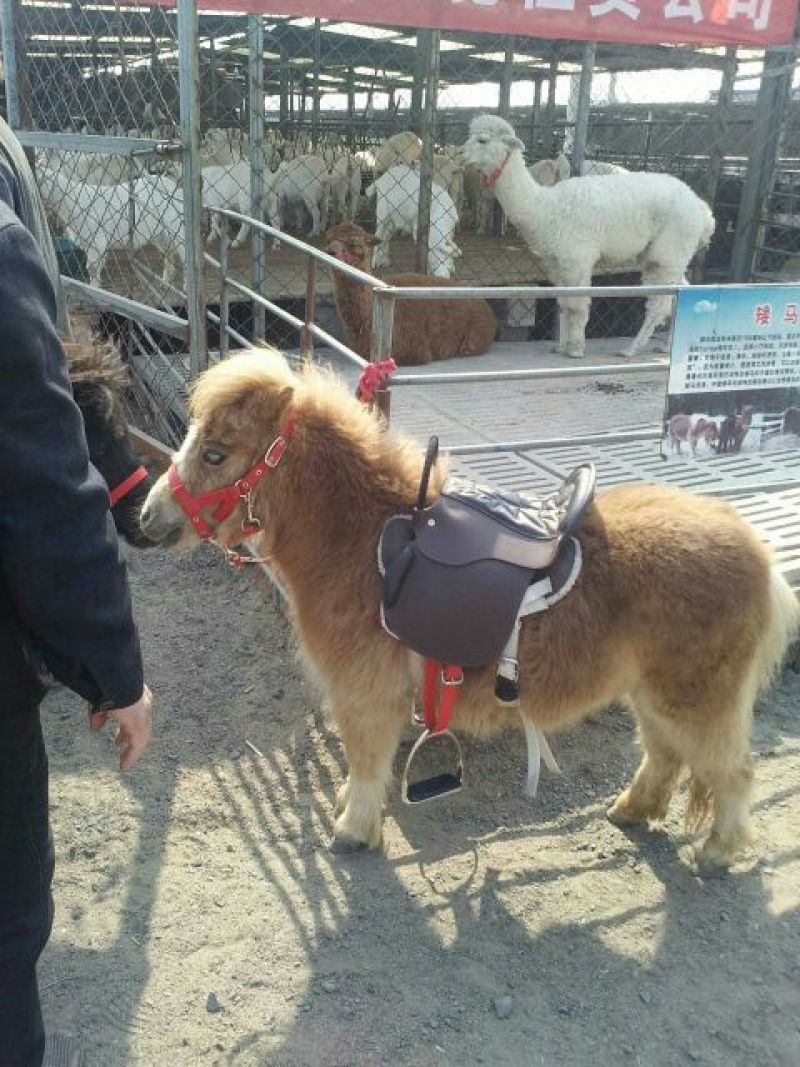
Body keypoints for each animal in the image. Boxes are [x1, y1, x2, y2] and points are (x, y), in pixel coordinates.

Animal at [139, 349, 798, 870]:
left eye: (216, 454)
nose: (146, 518)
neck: (358, 539)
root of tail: (760, 554)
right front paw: (353, 812)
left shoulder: (364, 694)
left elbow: (366, 758)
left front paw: (353, 829)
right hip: (654, 694)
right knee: (665, 756)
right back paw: (633, 811)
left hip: (698, 702)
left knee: (732, 772)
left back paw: (718, 853)